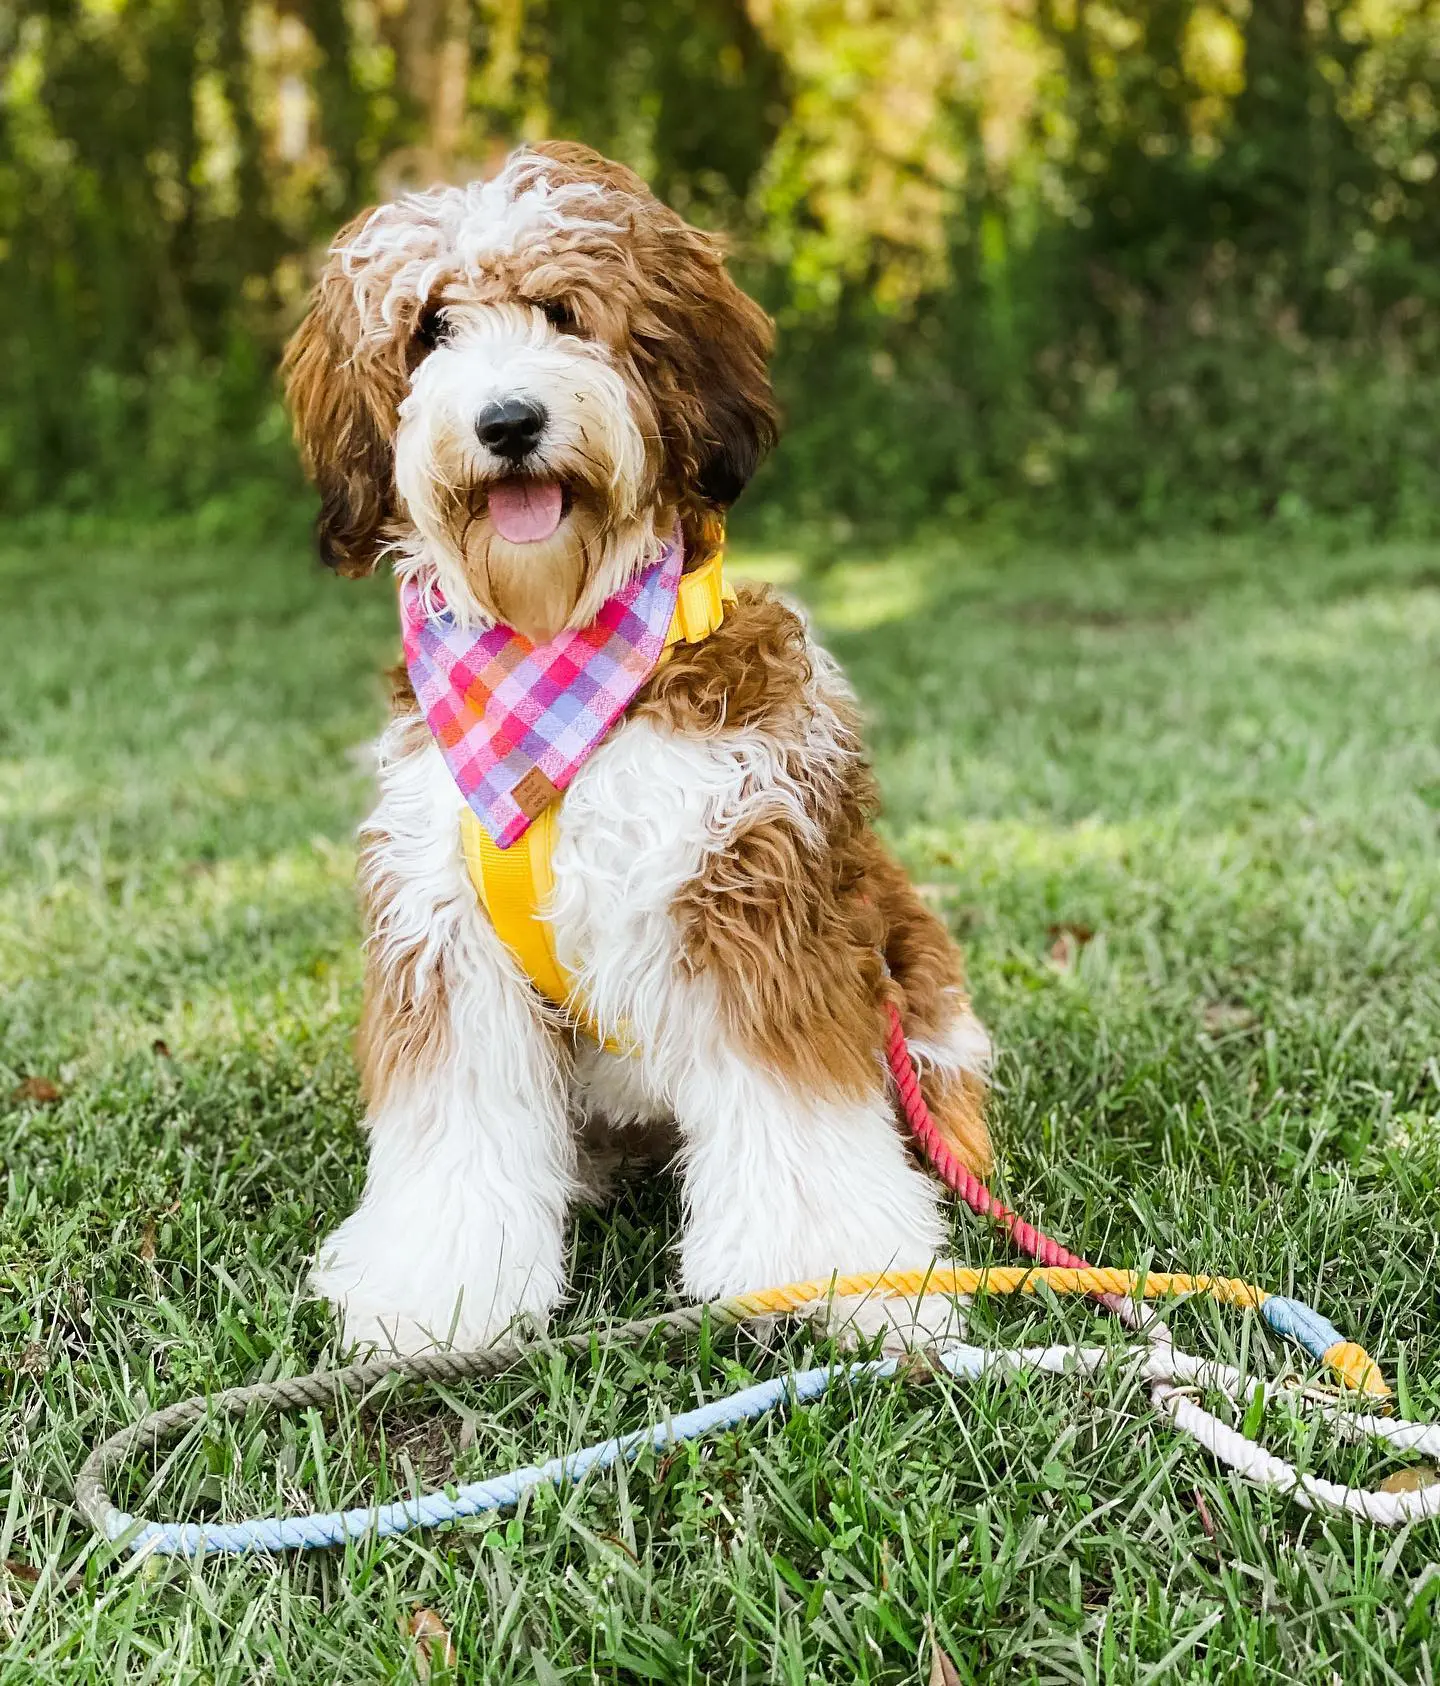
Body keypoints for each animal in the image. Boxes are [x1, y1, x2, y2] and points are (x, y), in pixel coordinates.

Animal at [288, 141, 998, 1355]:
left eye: (567, 313)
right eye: (432, 328)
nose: (508, 421)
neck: (553, 657)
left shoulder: (750, 896)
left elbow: (794, 1114)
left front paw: (832, 1275)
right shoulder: (446, 936)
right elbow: (456, 1130)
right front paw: (440, 1293)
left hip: (919, 998)